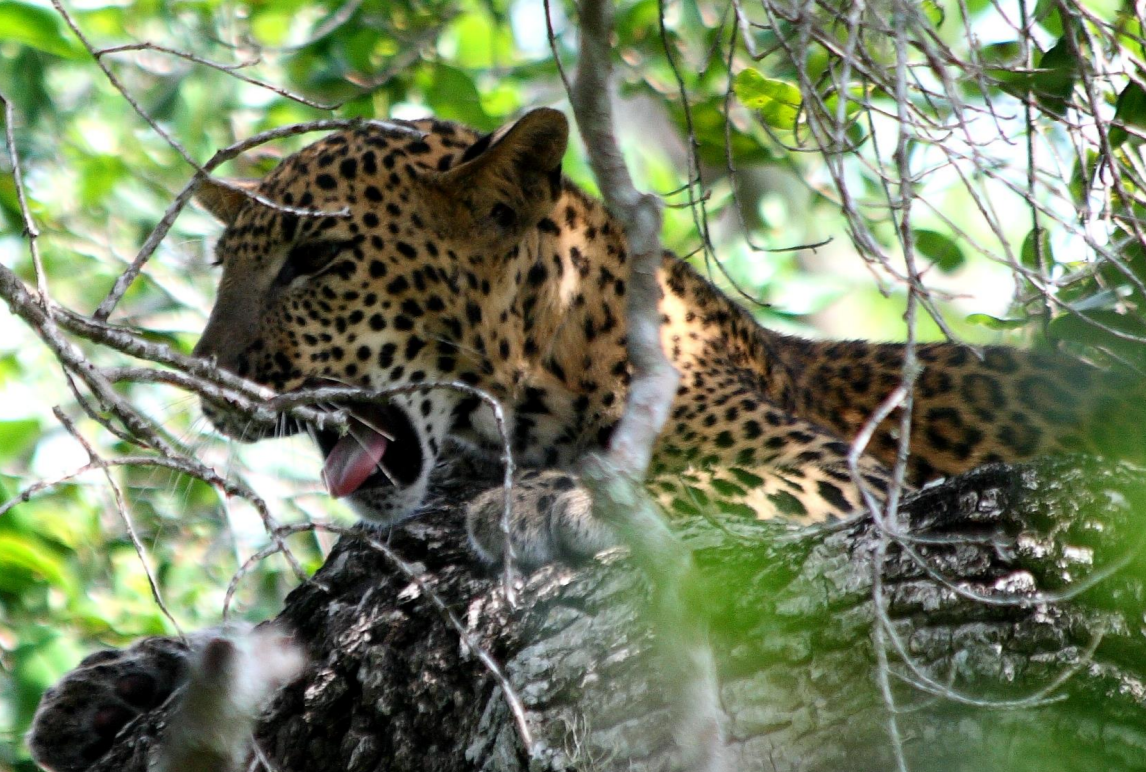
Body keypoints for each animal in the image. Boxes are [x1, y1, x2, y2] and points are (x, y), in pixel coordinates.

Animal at [26, 108, 1136, 769]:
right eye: (229, 261)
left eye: (320, 258)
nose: (215, 379)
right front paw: (113, 680)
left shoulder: (843, 475)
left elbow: (683, 480)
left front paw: (548, 502)